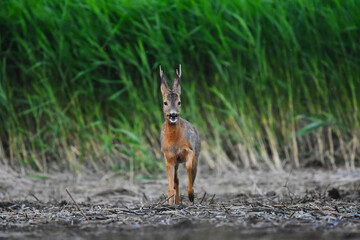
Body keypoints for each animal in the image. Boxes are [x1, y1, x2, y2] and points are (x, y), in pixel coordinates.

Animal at [160, 63, 201, 204]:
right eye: (165, 102)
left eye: (179, 102)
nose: (173, 115)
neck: (174, 142)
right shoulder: (168, 158)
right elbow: (171, 185)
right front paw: (170, 204)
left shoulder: (190, 151)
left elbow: (189, 168)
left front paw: (191, 195)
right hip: (176, 162)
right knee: (176, 181)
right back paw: (177, 203)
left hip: (197, 155)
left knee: (193, 174)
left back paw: (190, 201)